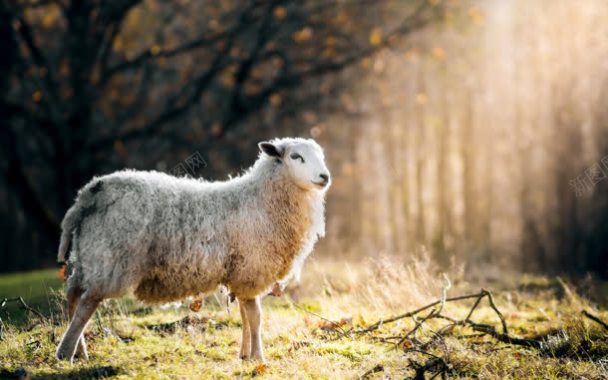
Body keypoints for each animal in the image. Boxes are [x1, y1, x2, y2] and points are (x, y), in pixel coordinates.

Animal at [55, 138, 332, 364]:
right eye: (296, 156)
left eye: (321, 155)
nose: (324, 177)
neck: (261, 200)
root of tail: (89, 193)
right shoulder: (250, 270)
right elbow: (255, 317)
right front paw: (258, 357)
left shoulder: (240, 275)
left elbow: (244, 315)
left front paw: (244, 355)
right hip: (111, 257)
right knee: (86, 304)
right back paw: (65, 353)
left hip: (89, 255)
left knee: (73, 296)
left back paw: (79, 352)